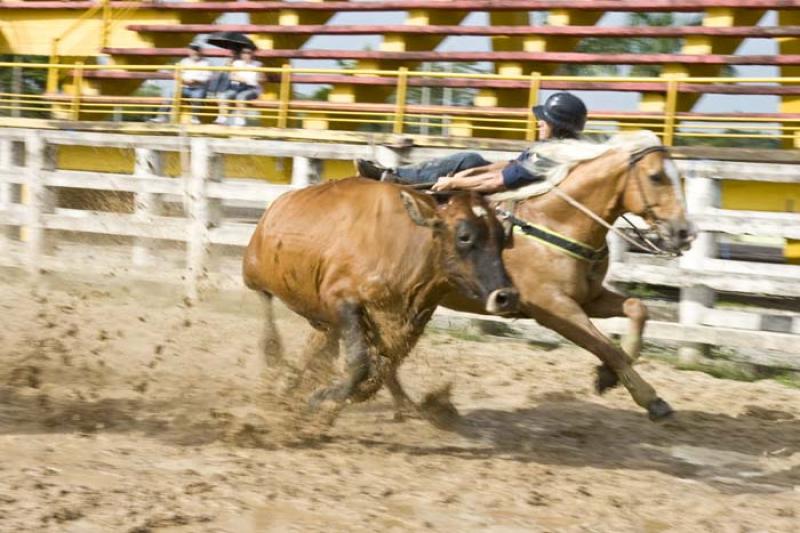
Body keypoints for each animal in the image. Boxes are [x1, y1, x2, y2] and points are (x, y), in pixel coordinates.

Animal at [244, 179, 516, 416]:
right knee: (268, 312)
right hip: (254, 275)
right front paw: (322, 396)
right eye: (464, 236)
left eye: (502, 237)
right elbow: (360, 363)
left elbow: (382, 369)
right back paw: (275, 362)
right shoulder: (342, 301)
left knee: (322, 346)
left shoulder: (410, 320)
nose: (505, 296)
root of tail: (276, 206)